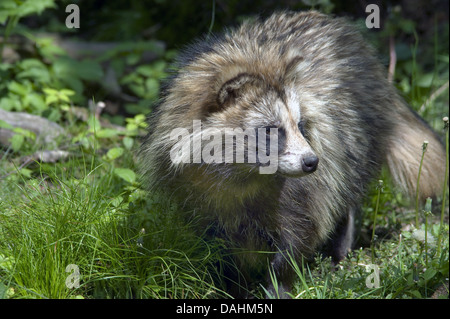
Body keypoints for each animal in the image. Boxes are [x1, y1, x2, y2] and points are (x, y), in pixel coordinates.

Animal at [140, 11, 446, 298]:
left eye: (299, 125)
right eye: (271, 130)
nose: (312, 162)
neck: (242, 174)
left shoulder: (299, 191)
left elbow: (299, 234)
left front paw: (278, 285)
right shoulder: (194, 194)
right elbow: (217, 250)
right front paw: (231, 287)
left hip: (360, 132)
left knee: (345, 190)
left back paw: (340, 248)